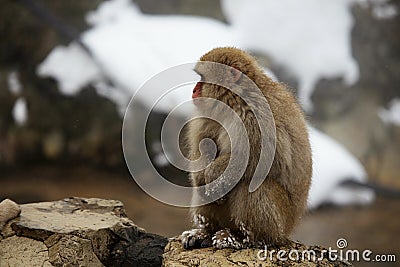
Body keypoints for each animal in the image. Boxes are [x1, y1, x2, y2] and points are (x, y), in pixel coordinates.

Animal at [181, 47, 312, 250]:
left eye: (203, 77)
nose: (194, 90)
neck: (234, 100)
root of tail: (288, 230)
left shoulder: (256, 115)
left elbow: (259, 158)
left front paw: (213, 173)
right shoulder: (208, 115)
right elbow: (201, 150)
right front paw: (201, 174)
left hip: (281, 221)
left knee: (255, 184)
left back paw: (243, 238)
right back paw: (206, 231)